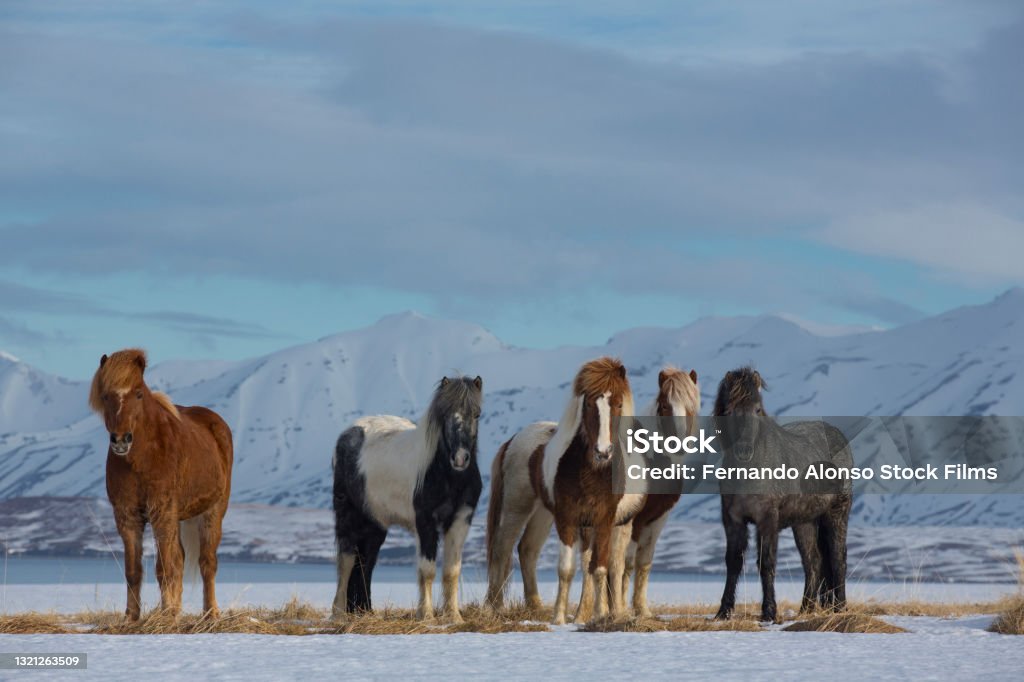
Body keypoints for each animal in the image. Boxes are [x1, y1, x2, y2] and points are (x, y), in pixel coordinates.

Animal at [89, 348, 232, 618]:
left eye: (138, 393)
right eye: (105, 395)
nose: (121, 440)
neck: (142, 458)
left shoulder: (161, 512)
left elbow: (165, 567)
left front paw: (166, 618)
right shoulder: (127, 516)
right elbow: (134, 570)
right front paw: (132, 617)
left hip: (212, 511)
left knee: (207, 563)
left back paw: (210, 613)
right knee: (181, 558)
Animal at [331, 374, 483, 618]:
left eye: (477, 414)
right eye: (445, 415)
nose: (460, 458)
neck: (446, 475)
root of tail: (348, 434)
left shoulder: (460, 520)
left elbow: (452, 571)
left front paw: (453, 616)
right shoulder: (425, 522)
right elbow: (427, 570)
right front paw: (427, 615)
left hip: (375, 523)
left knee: (366, 563)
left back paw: (365, 611)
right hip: (347, 515)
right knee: (346, 561)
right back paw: (338, 614)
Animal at [483, 356, 634, 622]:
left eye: (617, 404)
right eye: (588, 404)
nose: (603, 452)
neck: (593, 473)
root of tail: (512, 440)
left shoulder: (603, 520)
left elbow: (598, 568)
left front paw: (598, 615)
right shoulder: (567, 518)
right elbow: (566, 569)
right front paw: (559, 619)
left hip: (542, 514)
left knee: (527, 549)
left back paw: (534, 605)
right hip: (516, 507)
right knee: (502, 548)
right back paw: (495, 607)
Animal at [712, 366, 856, 622]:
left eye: (758, 409)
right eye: (728, 411)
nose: (744, 451)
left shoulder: (767, 519)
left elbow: (766, 563)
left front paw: (769, 612)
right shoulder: (732, 520)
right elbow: (733, 562)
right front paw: (723, 612)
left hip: (836, 514)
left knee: (838, 560)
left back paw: (839, 608)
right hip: (804, 522)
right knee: (814, 562)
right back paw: (806, 609)